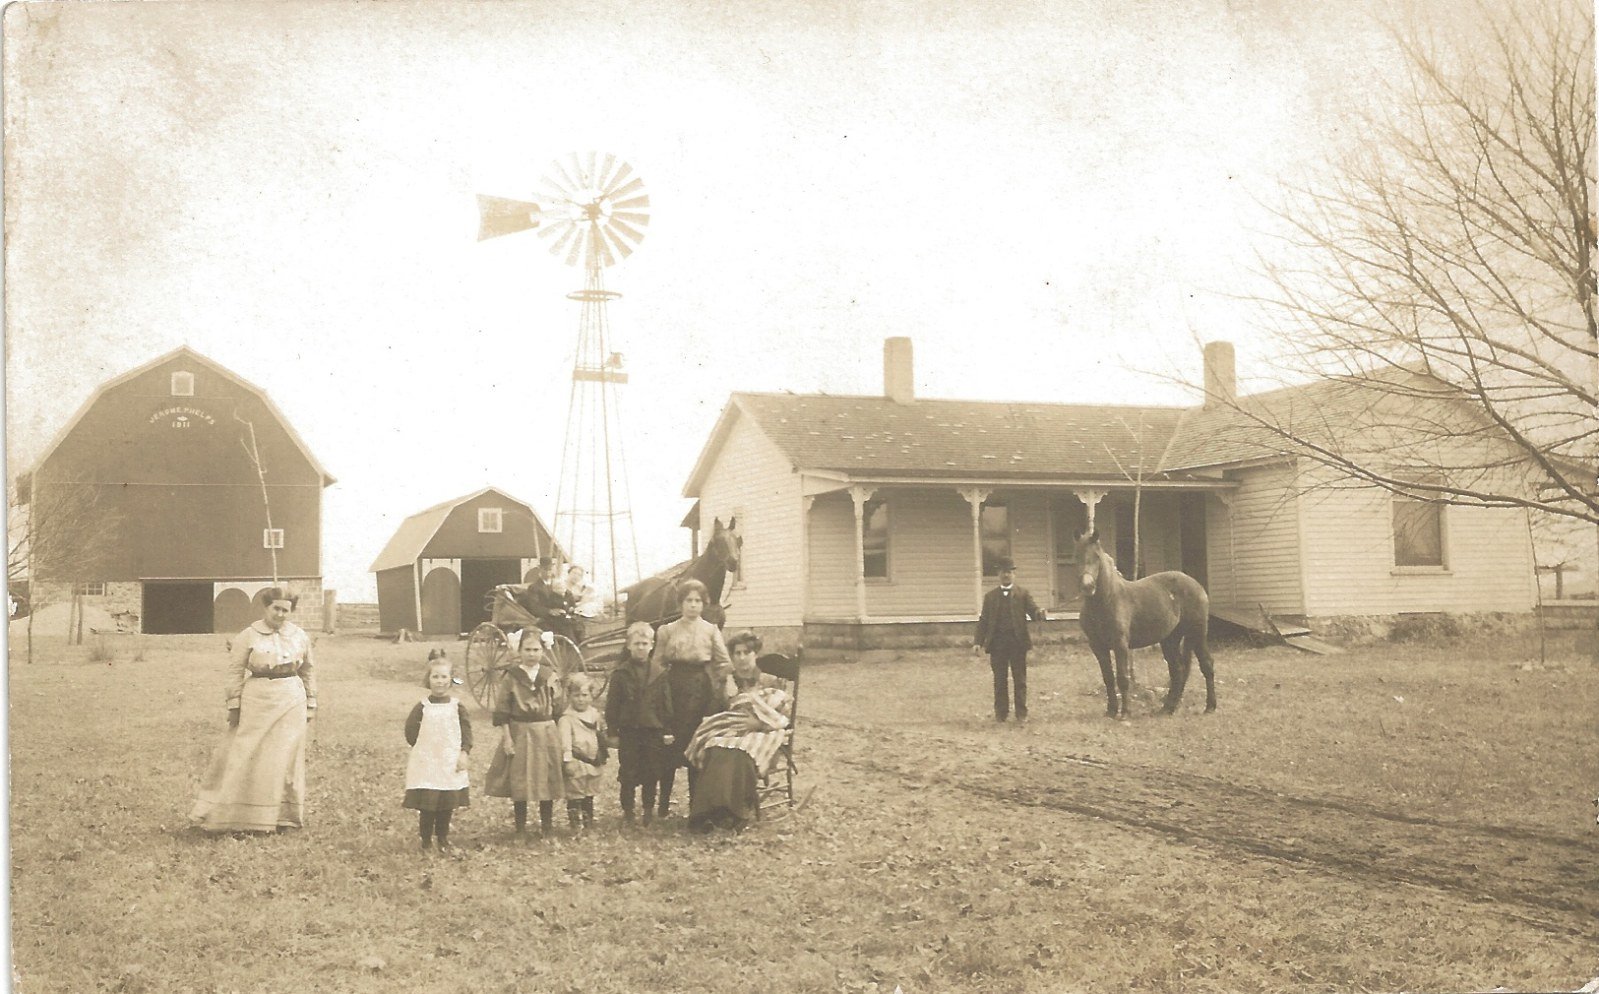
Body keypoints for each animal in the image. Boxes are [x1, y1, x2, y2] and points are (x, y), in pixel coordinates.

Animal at [1080, 533, 1215, 719]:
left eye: (1097, 557)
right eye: (1077, 555)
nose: (1088, 586)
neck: (1108, 599)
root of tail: (1197, 585)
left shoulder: (1120, 645)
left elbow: (1122, 678)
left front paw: (1125, 713)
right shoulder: (1097, 646)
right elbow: (1108, 678)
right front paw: (1111, 711)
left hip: (1197, 634)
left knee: (1206, 665)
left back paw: (1210, 707)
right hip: (1170, 640)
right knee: (1178, 670)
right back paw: (1168, 708)